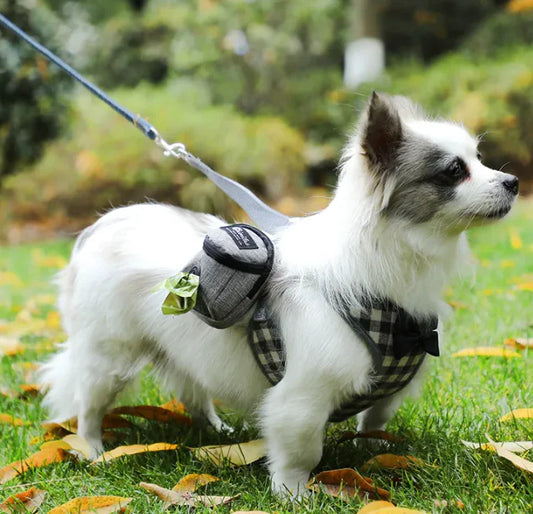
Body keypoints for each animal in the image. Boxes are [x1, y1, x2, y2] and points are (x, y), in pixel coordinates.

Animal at [39, 91, 516, 492]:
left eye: (480, 159)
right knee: (88, 407)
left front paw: (373, 452)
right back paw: (95, 452)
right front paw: (294, 494)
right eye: (455, 170)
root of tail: (100, 226)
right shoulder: (301, 398)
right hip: (109, 359)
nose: (512, 181)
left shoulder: (388, 388)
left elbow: (374, 420)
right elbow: (301, 450)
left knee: (194, 393)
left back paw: (216, 434)